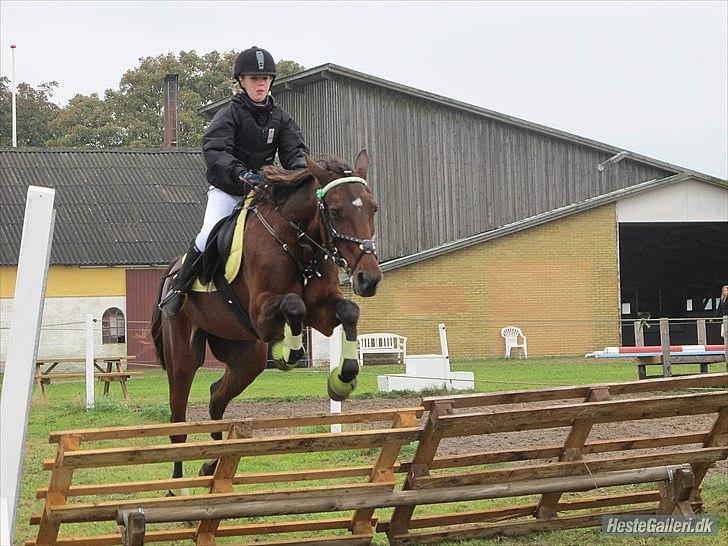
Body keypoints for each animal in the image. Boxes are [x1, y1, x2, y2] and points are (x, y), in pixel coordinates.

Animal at [148, 150, 382, 480]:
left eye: (373, 208)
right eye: (335, 212)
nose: (368, 279)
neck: (298, 241)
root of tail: (172, 272)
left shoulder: (322, 312)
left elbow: (349, 311)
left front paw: (342, 380)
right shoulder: (261, 312)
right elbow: (294, 305)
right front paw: (287, 354)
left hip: (246, 358)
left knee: (217, 396)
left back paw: (213, 463)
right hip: (182, 356)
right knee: (178, 422)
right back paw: (177, 484)